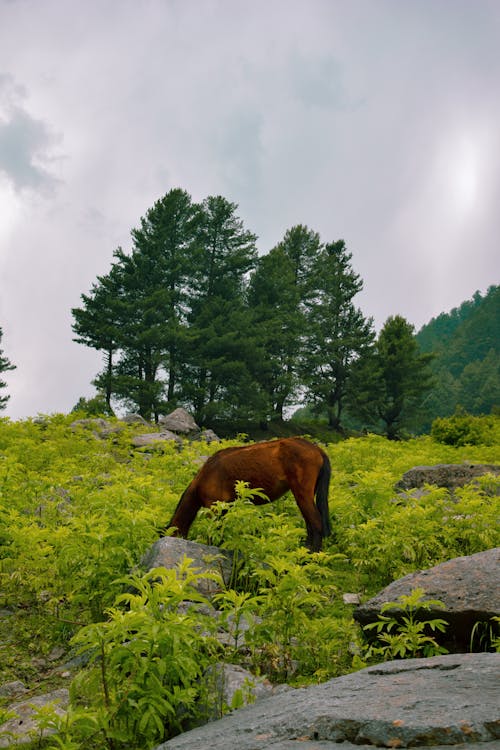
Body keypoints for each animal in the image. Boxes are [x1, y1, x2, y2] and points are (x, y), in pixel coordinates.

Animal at [168, 440, 332, 552]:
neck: (203, 478)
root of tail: (317, 449)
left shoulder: (214, 507)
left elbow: (213, 532)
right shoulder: (225, 508)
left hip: (302, 493)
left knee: (316, 522)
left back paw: (312, 555)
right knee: (310, 523)